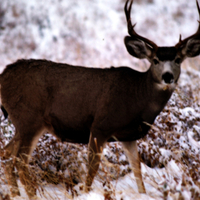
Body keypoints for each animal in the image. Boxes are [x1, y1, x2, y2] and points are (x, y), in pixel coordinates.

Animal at [1, 0, 200, 198]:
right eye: (155, 60)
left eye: (178, 59)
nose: (168, 76)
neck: (138, 98)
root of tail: (3, 76)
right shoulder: (100, 126)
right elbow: (92, 169)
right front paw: (86, 193)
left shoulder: (128, 136)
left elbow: (137, 170)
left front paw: (143, 193)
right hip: (29, 119)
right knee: (19, 162)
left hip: (25, 125)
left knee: (6, 155)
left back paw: (15, 194)